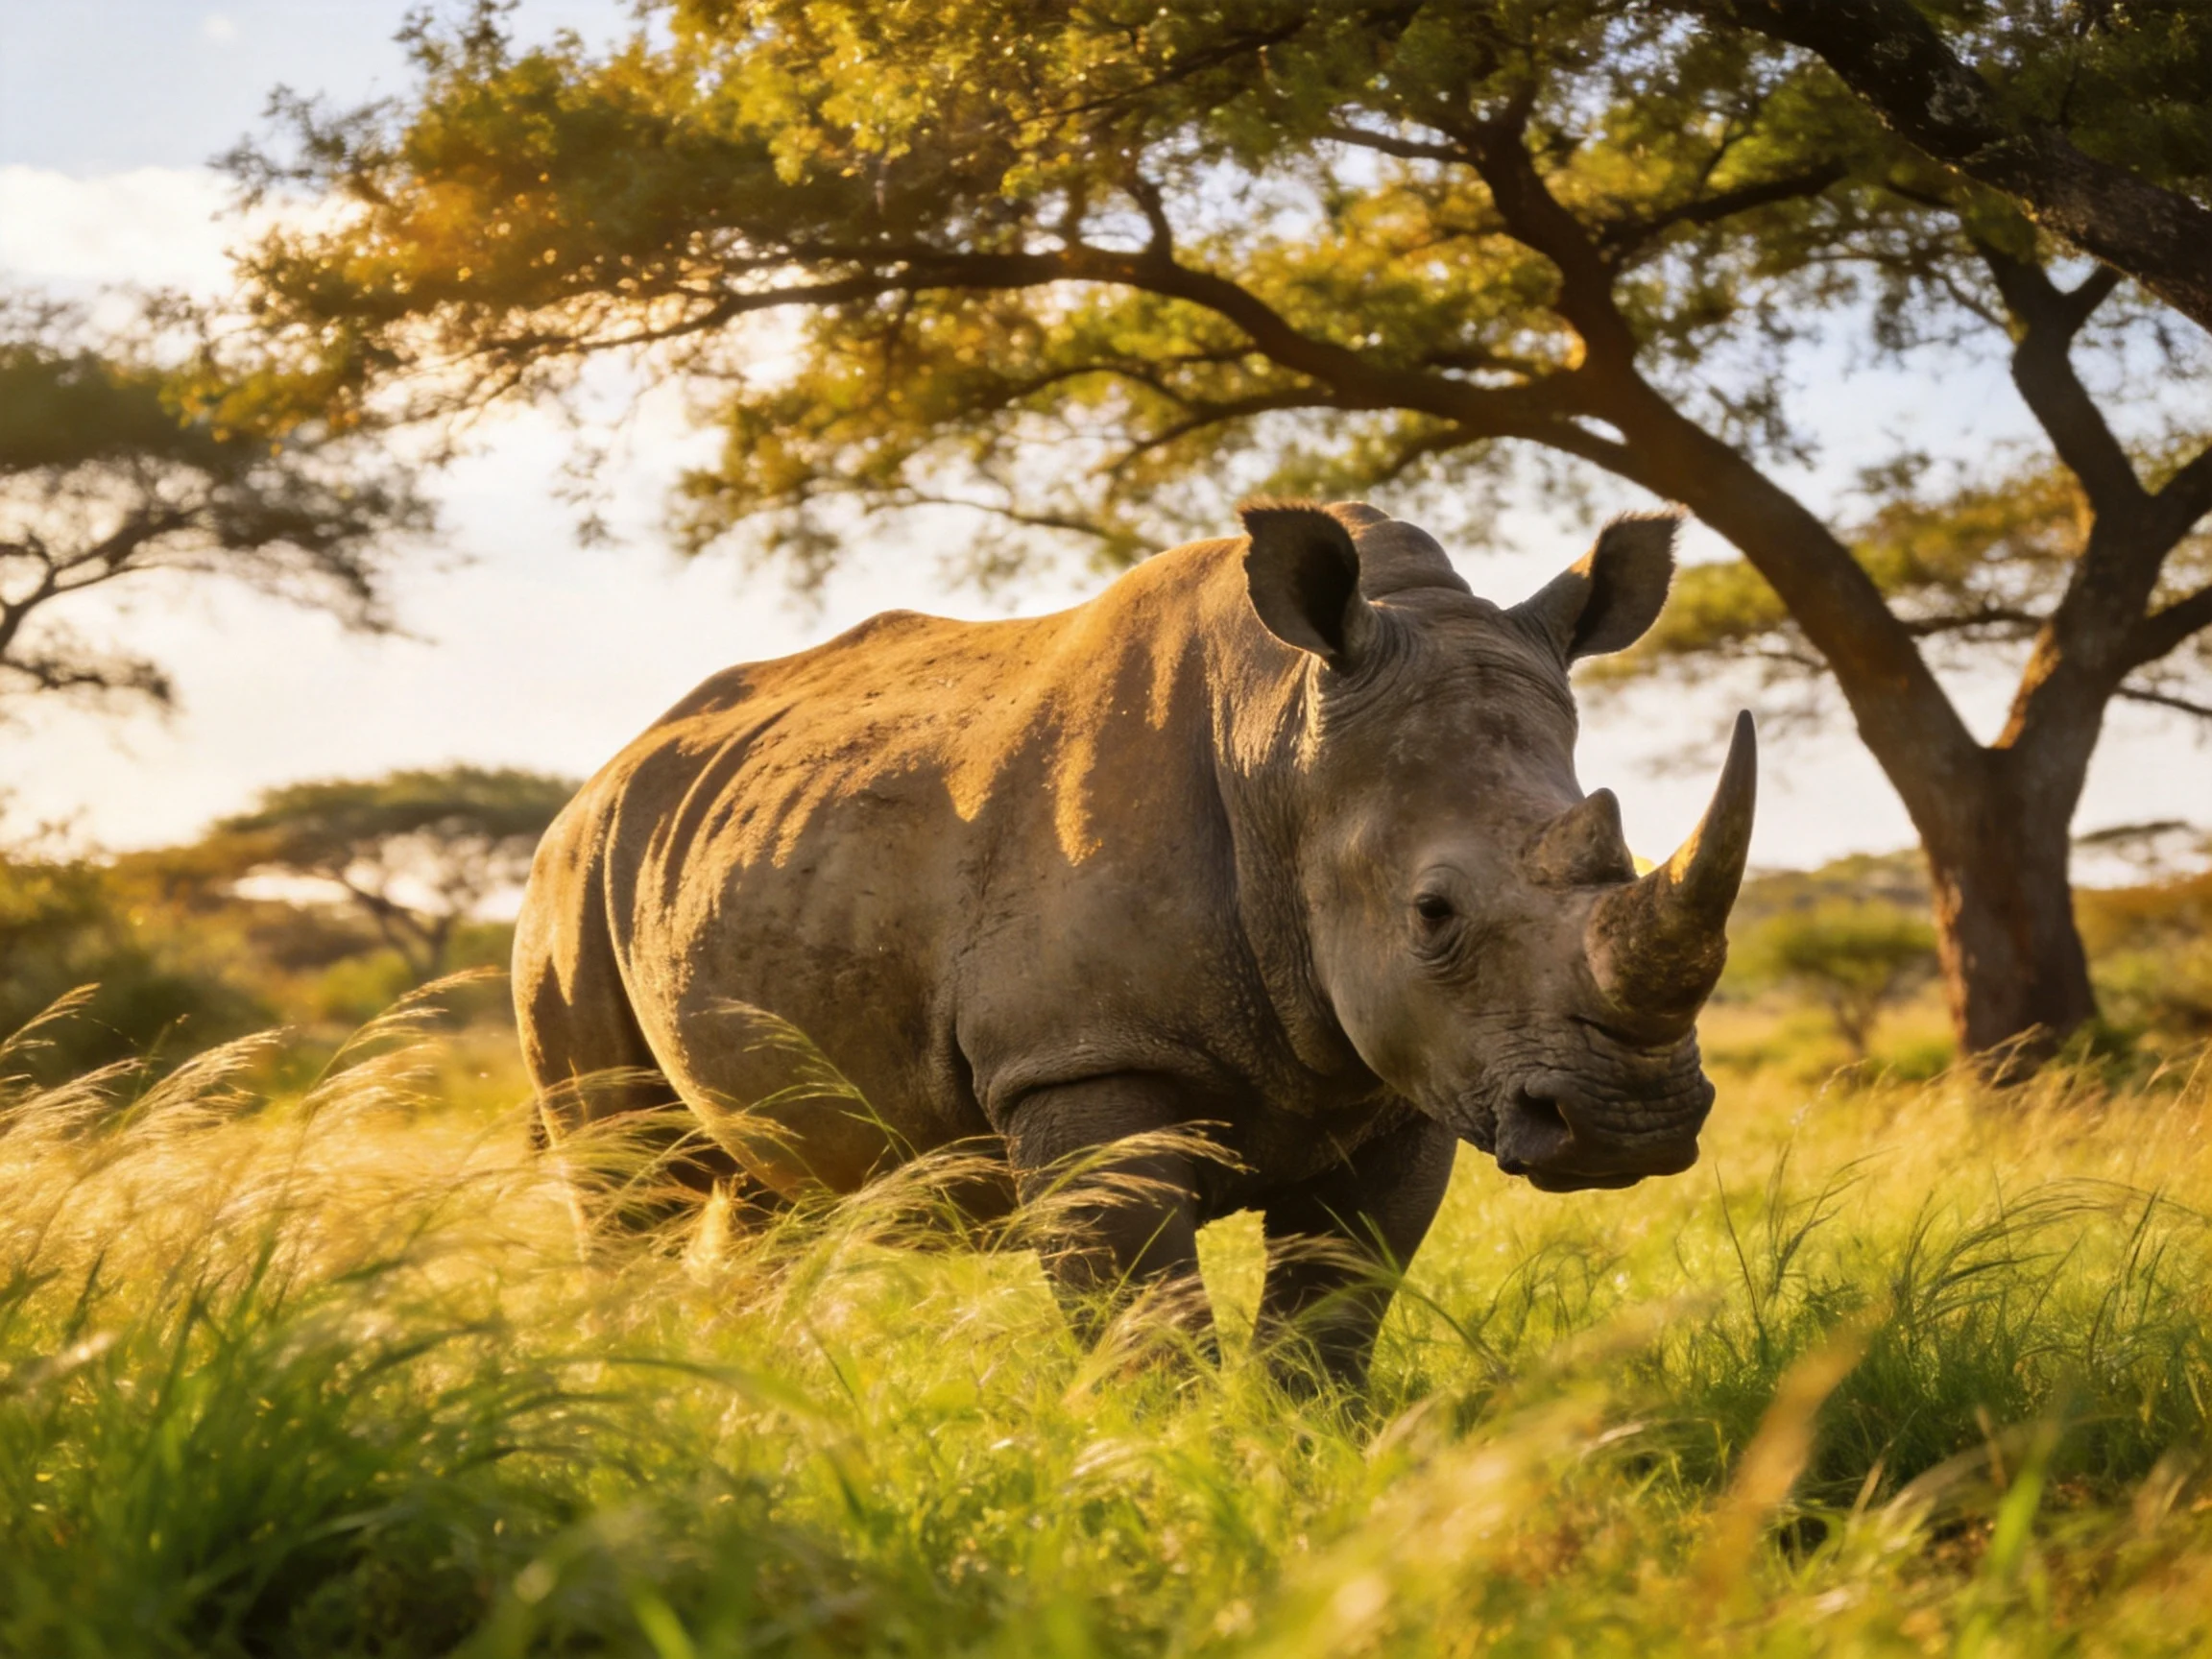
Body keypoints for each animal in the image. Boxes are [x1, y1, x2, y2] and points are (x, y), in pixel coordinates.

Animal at [515, 500, 1754, 1384]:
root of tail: (603, 777)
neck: (1284, 748)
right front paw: (1181, 1480)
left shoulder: (1407, 1079)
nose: (1631, 1124)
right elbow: (1144, 1331)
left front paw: (1305, 1477)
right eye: (1432, 915)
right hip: (567, 883)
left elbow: (1331, 1324)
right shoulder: (1082, 1059)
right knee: (631, 1185)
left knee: (775, 1190)